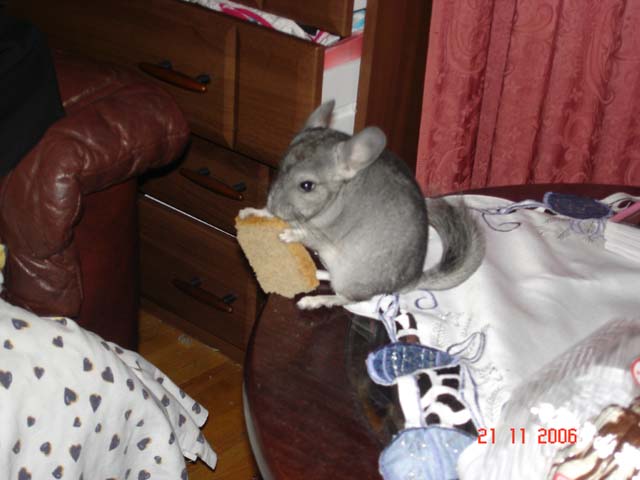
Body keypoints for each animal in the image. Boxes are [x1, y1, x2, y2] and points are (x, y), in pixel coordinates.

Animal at [239, 101, 485, 309]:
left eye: (307, 185)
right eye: (280, 168)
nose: (273, 204)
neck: (337, 198)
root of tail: (410, 282)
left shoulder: (324, 234)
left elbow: (306, 234)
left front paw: (288, 235)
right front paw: (250, 212)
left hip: (350, 276)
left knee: (348, 299)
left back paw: (314, 300)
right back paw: (318, 274)